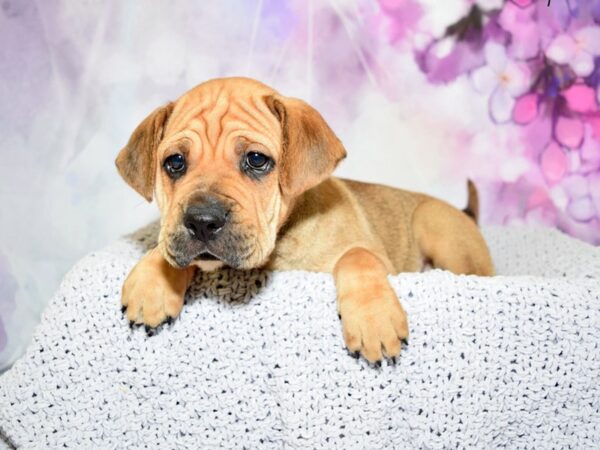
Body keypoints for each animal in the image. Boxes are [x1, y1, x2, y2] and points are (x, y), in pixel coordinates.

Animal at [116, 77, 492, 364]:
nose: (202, 221)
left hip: (438, 227)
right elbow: (165, 247)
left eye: (256, 160)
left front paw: (373, 321)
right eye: (175, 163)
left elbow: (357, 257)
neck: (278, 248)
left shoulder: (373, 256)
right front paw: (153, 282)